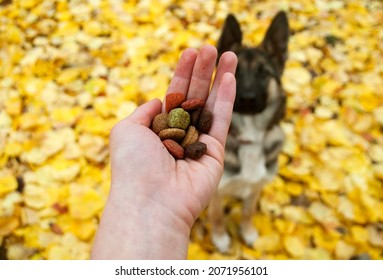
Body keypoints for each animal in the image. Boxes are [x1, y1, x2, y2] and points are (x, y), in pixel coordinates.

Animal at [208, 10, 290, 253]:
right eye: (235, 72)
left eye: (264, 73)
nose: (247, 99)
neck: (250, 138)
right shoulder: (217, 192)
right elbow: (217, 216)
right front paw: (220, 239)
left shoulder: (255, 188)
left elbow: (248, 211)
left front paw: (248, 232)